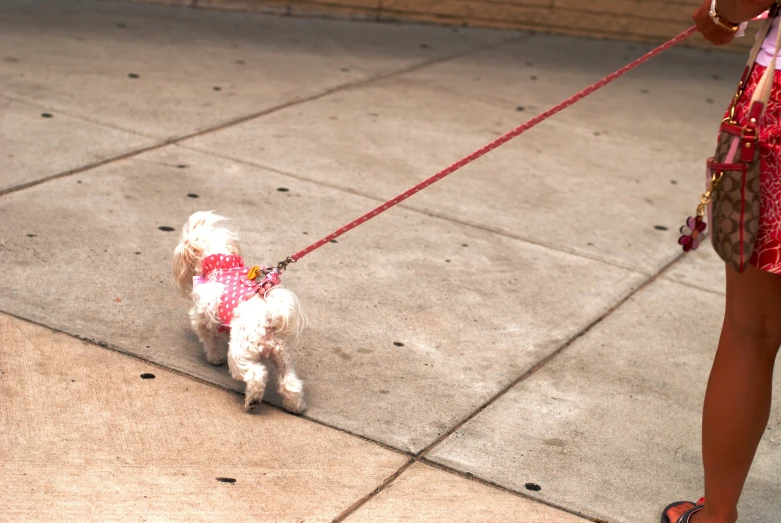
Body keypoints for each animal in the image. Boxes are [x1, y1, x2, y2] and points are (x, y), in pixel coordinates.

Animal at [172, 212, 306, 414]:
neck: (221, 266)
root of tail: (268, 318)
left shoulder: (201, 318)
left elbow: (209, 339)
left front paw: (214, 358)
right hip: (282, 356)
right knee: (289, 383)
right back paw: (295, 406)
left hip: (239, 353)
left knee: (256, 375)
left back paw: (252, 400)